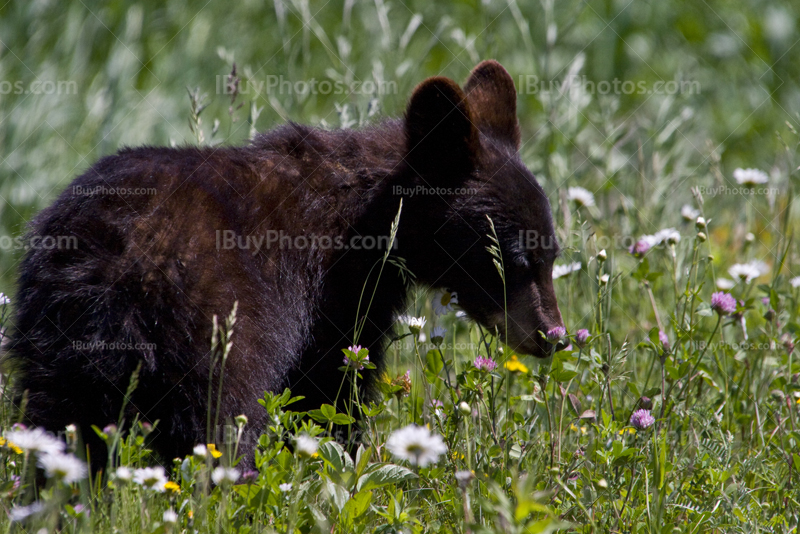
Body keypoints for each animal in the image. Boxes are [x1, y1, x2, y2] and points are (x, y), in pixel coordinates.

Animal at [4, 60, 564, 466]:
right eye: (517, 257)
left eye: (552, 252)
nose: (554, 335)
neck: (370, 216)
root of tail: (114, 259)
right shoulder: (332, 294)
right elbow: (330, 387)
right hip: (209, 324)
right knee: (218, 418)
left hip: (57, 341)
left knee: (60, 422)